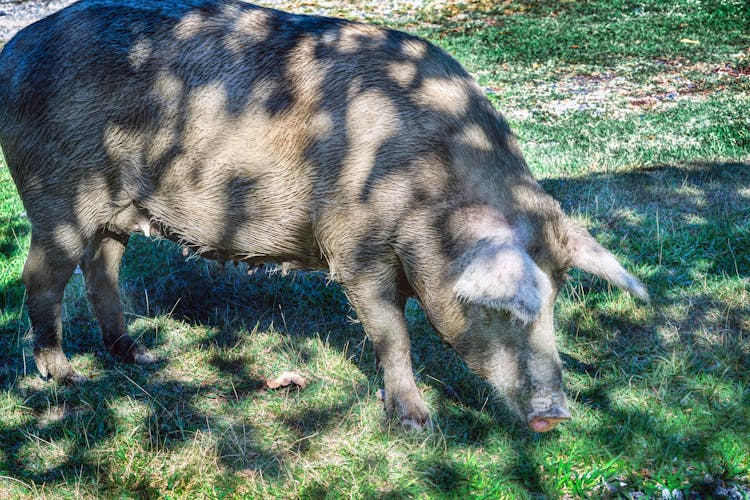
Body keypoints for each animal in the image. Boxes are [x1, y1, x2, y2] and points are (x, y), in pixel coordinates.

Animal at [0, 0, 648, 432]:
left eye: (556, 301)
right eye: (500, 308)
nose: (555, 416)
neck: (429, 191)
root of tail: (14, 49)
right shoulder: (354, 248)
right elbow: (392, 333)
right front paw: (416, 424)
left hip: (117, 209)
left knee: (102, 268)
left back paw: (141, 355)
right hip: (56, 196)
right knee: (42, 276)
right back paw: (67, 376)